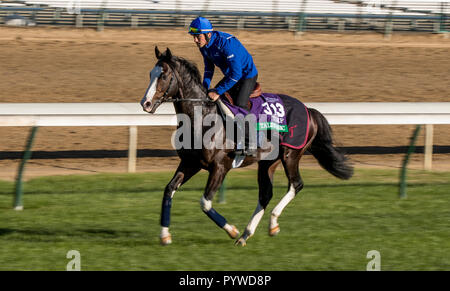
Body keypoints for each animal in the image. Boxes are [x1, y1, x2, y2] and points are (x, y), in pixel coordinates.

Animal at [139, 47, 354, 246]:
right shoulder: (190, 163)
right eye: (150, 74)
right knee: (266, 193)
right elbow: (169, 190)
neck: (203, 118)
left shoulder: (220, 167)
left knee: (296, 184)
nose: (145, 103)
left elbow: (205, 203)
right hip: (268, 162)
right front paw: (165, 235)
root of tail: (308, 110)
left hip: (291, 155)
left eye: (163, 75)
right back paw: (246, 234)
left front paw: (231, 230)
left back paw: (270, 224)